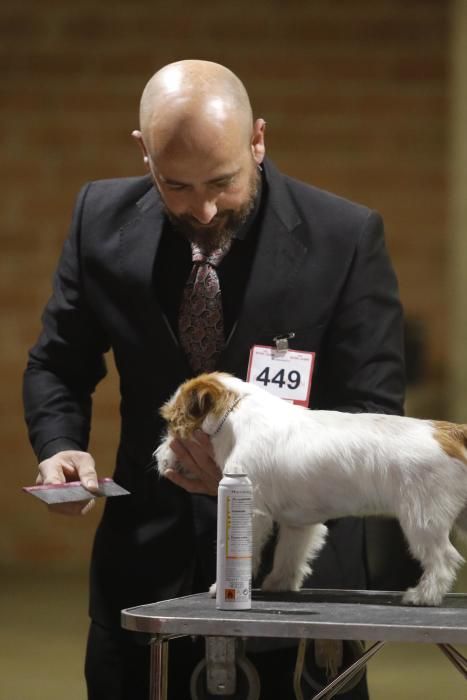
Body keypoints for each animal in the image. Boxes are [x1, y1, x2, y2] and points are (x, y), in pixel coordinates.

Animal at [157, 372, 467, 608]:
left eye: (172, 422)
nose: (158, 457)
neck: (236, 416)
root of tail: (449, 433)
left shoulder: (253, 513)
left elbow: (251, 551)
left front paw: (220, 587)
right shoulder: (299, 525)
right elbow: (289, 554)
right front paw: (280, 583)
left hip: (423, 520)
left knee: (443, 559)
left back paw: (423, 596)